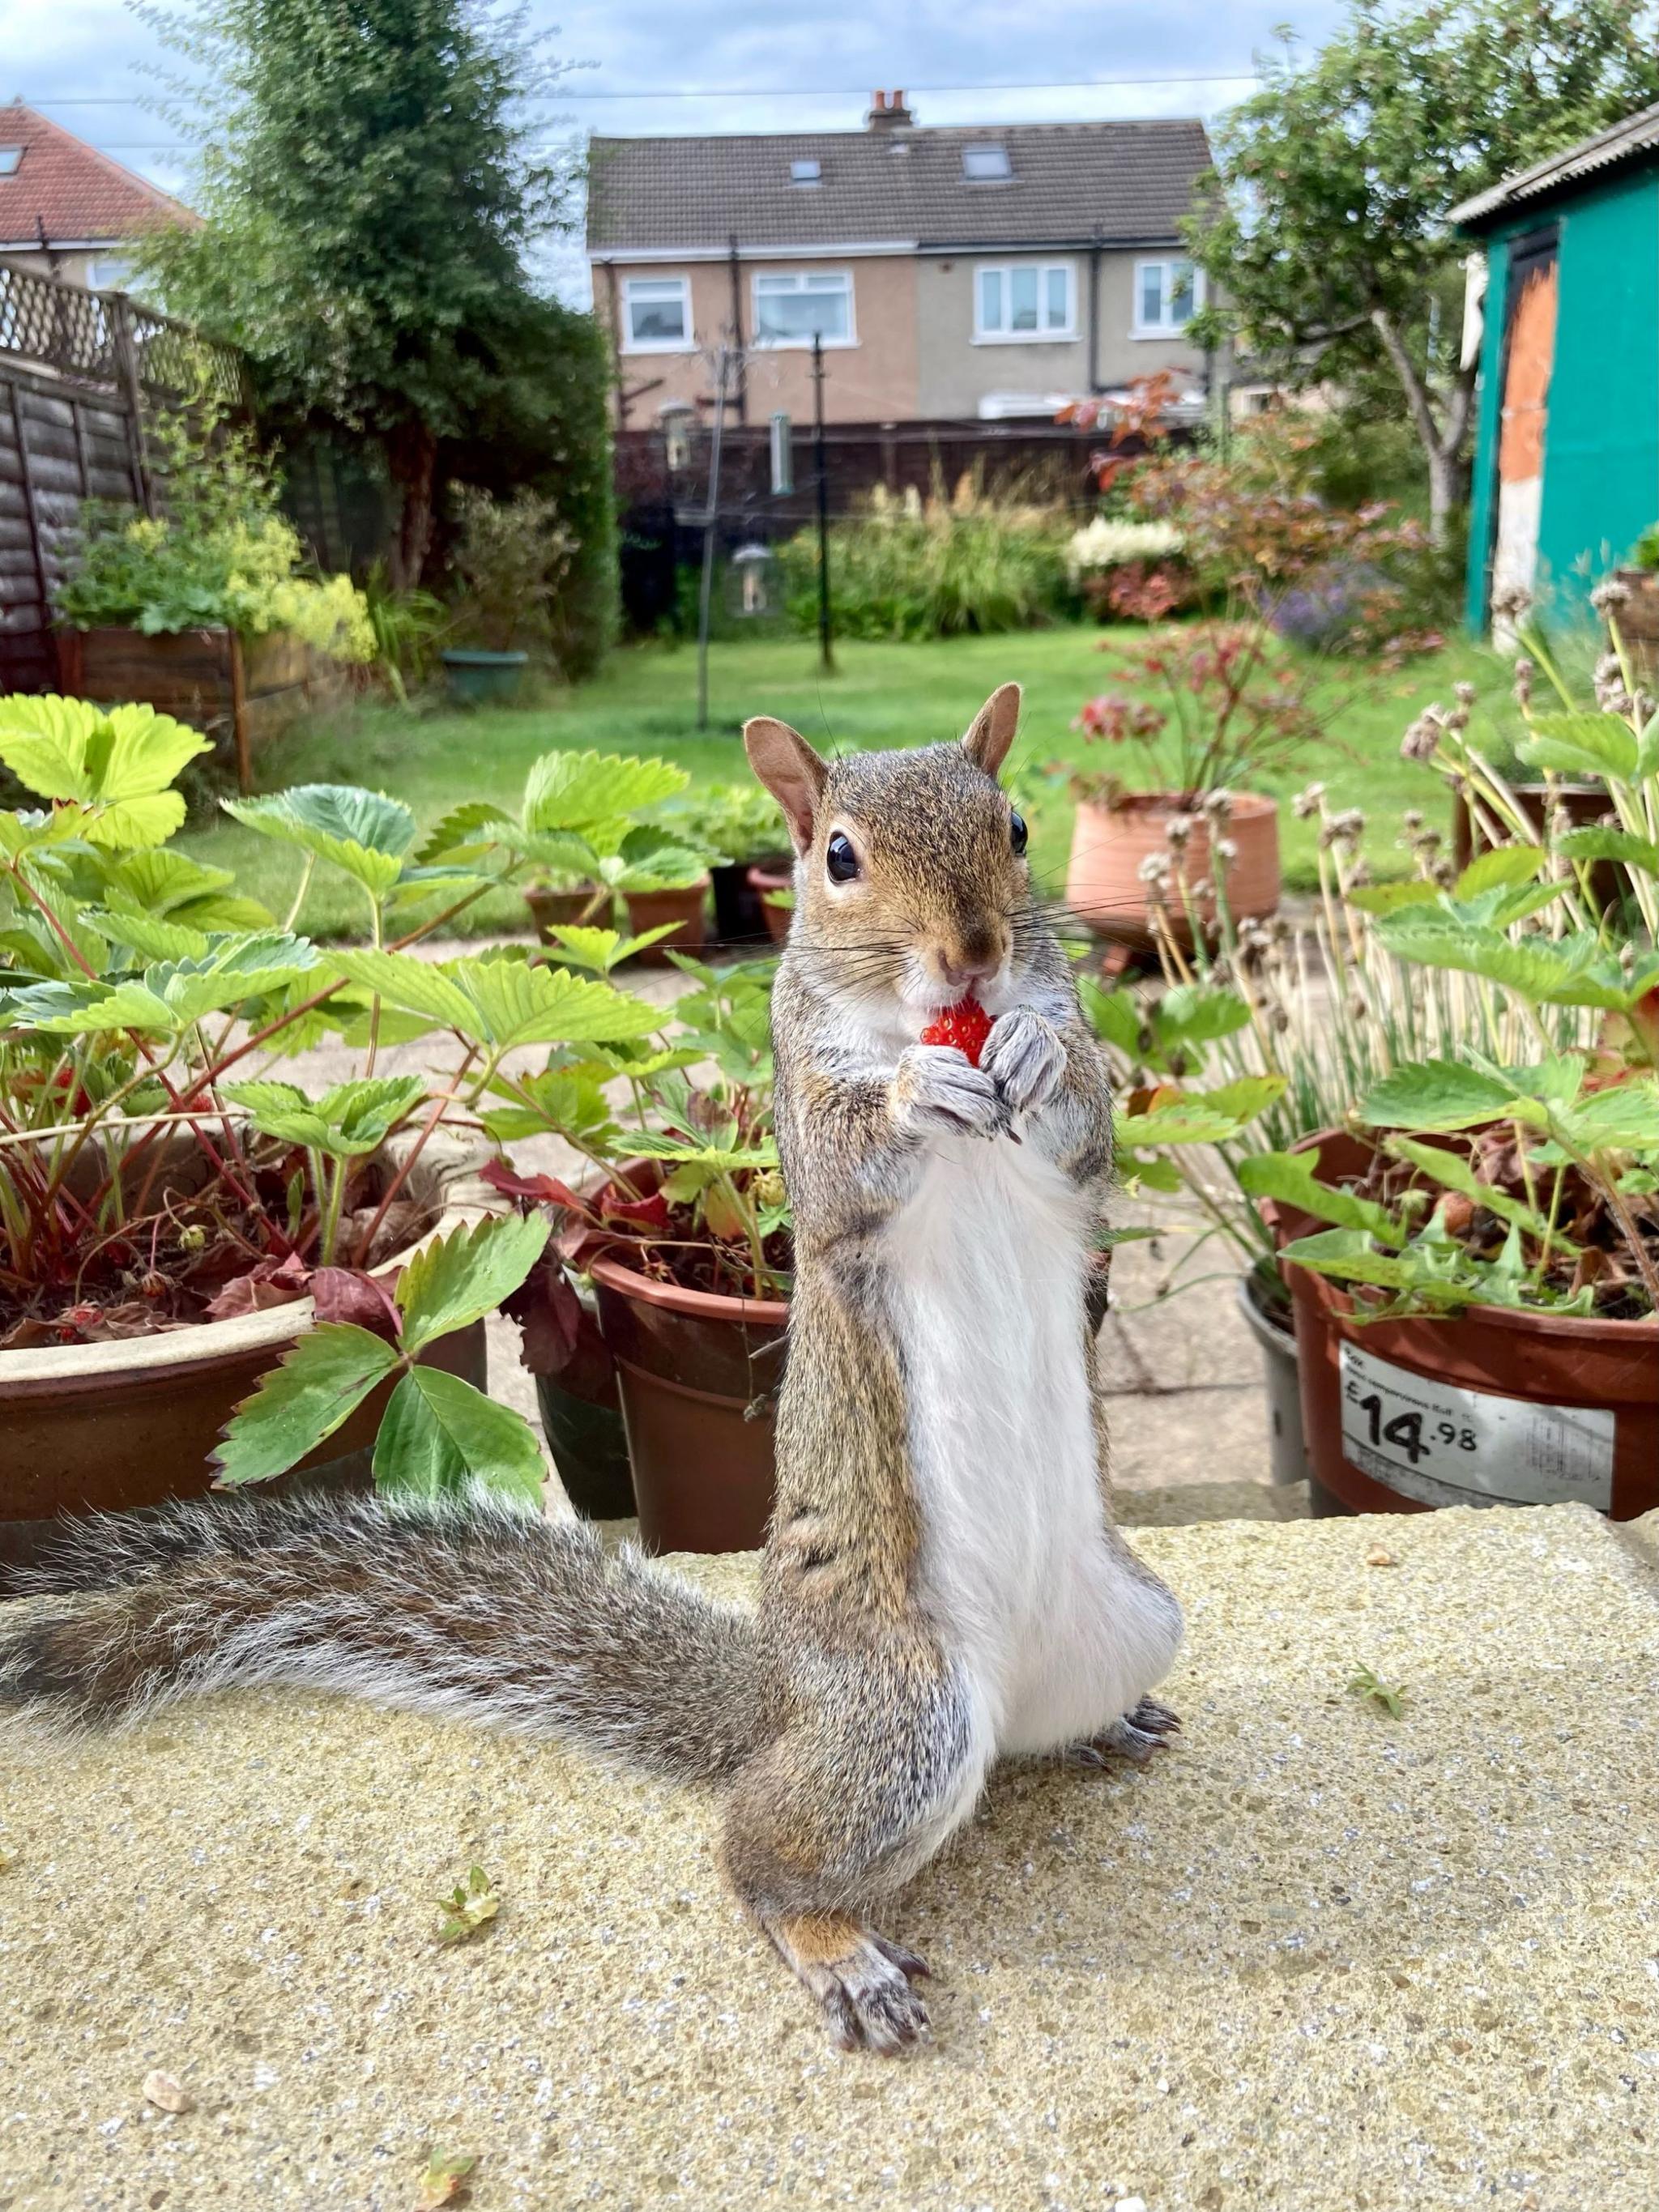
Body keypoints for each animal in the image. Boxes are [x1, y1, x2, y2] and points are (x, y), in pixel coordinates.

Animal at [6, 685, 1185, 2052]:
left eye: (1017, 826)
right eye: (838, 856)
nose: (977, 956)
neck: (919, 1018)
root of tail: (776, 1703)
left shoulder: (1068, 1138)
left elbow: (1083, 1126)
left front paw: (1040, 1054)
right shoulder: (808, 1123)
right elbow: (849, 1164)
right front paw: (916, 1086)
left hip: (1135, 1619)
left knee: (1024, 1741)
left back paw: (1105, 1725)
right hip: (901, 1728)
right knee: (756, 1857)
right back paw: (836, 1946)